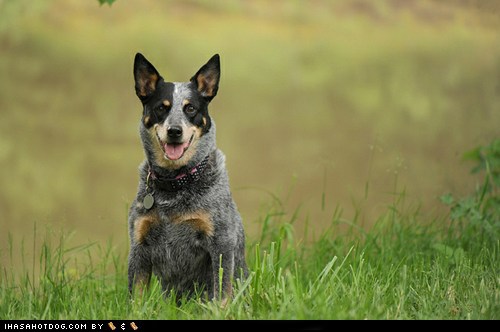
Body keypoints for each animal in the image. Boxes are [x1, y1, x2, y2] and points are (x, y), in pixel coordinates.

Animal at [127, 52, 248, 304]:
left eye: (190, 108)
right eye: (161, 108)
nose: (174, 131)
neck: (174, 183)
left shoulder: (221, 242)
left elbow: (222, 292)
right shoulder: (139, 245)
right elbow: (136, 298)